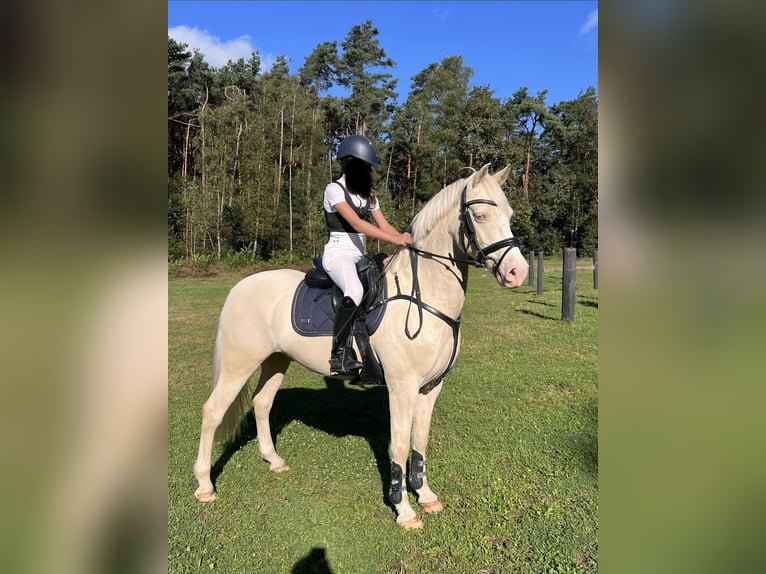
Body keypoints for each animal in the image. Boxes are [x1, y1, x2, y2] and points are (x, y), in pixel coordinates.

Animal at [193, 163, 530, 529]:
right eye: (480, 216)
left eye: (509, 215)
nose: (518, 271)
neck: (424, 296)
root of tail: (241, 286)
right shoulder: (402, 386)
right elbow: (399, 444)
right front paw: (404, 509)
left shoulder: (431, 387)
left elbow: (420, 440)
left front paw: (426, 496)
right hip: (239, 363)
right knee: (212, 412)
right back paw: (205, 486)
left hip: (276, 359)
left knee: (262, 403)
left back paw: (274, 460)